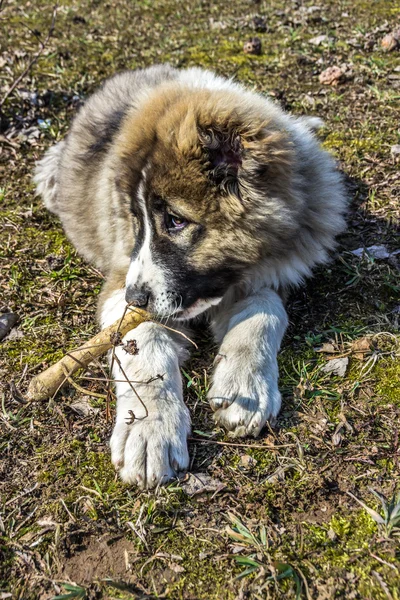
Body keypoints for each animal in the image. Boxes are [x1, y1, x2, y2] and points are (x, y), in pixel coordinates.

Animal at [34, 65, 346, 488]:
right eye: (137, 220)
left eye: (176, 221)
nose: (136, 299)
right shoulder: (119, 281)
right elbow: (144, 338)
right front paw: (149, 427)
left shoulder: (264, 275)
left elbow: (265, 309)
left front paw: (245, 383)